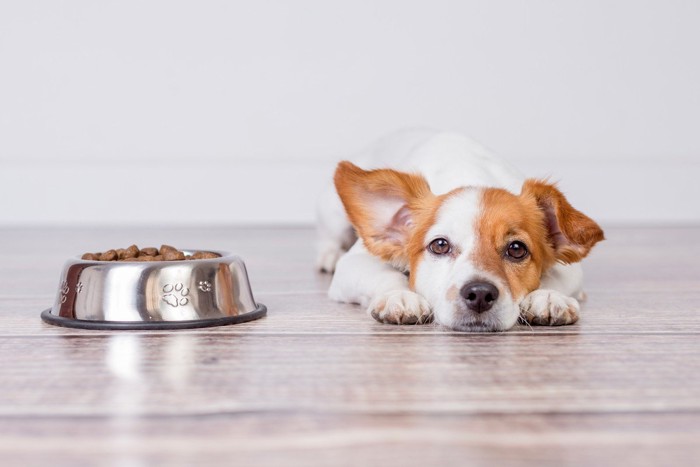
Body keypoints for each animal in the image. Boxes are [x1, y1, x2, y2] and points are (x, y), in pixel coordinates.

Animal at [316, 129, 600, 332]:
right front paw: (401, 296)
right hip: (334, 216)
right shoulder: (355, 263)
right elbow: (386, 275)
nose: (480, 294)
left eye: (517, 249)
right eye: (440, 245)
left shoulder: (571, 269)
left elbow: (554, 279)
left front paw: (548, 297)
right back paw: (327, 256)